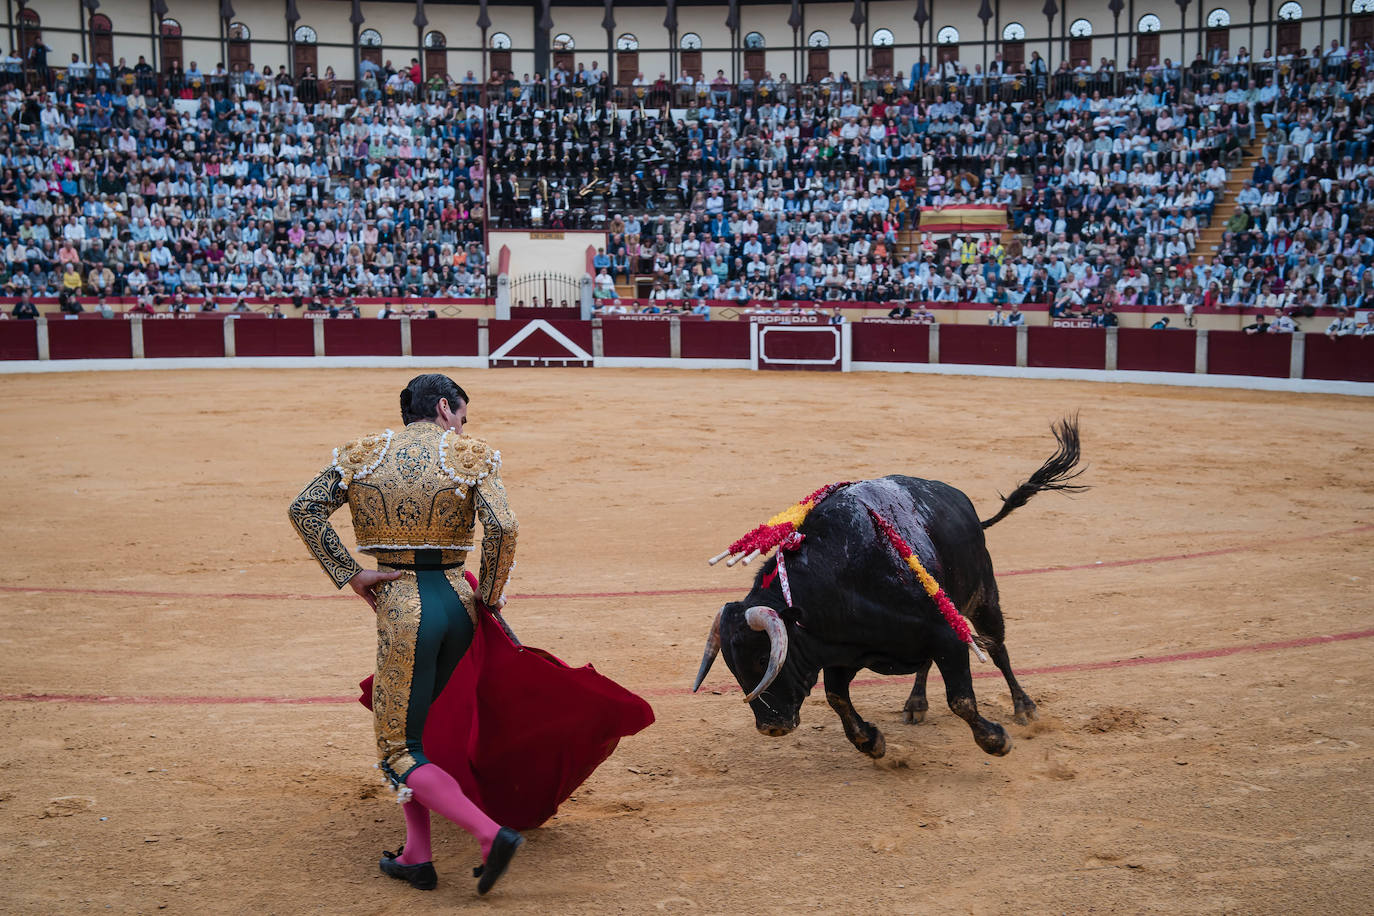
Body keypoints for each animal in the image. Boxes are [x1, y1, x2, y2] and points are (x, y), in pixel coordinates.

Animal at [692, 420, 1088, 758]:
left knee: (997, 648)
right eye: (732, 667)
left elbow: (961, 699)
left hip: (983, 597)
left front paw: (996, 740)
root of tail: (966, 506)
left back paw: (1024, 707)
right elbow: (837, 697)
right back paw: (915, 704)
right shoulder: (841, 650)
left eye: (763, 659)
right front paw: (871, 743)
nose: (770, 727)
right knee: (928, 665)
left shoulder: (947, 634)